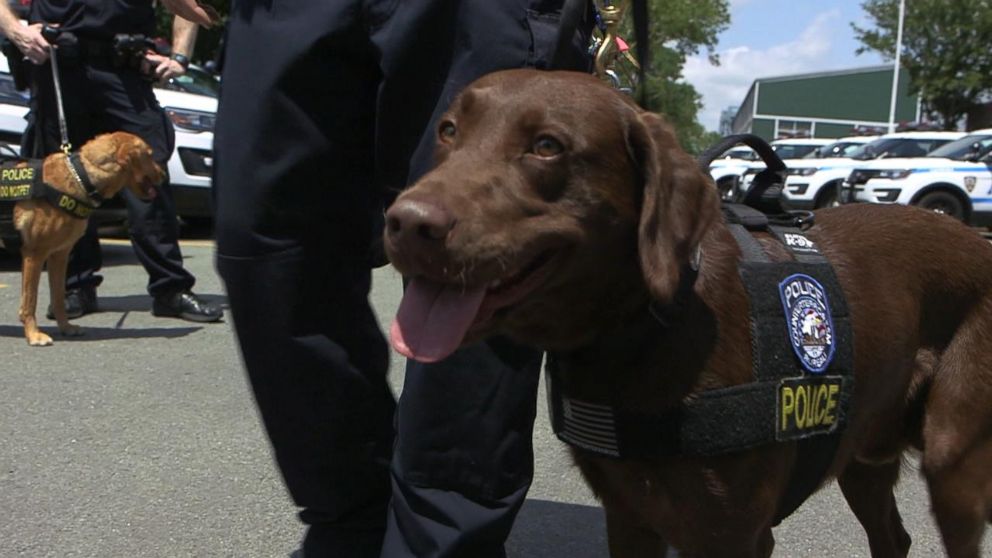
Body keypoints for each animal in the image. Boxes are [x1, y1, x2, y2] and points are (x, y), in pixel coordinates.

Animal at [12, 133, 164, 348]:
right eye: (149, 155)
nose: (164, 175)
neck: (82, 177)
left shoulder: (59, 255)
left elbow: (58, 297)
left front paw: (66, 327)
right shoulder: (34, 254)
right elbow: (30, 300)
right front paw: (34, 335)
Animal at [384, 71, 992, 558]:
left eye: (547, 145)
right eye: (448, 131)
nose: (406, 223)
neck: (641, 329)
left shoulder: (733, 533)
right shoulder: (628, 517)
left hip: (954, 459)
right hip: (865, 451)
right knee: (893, 535)